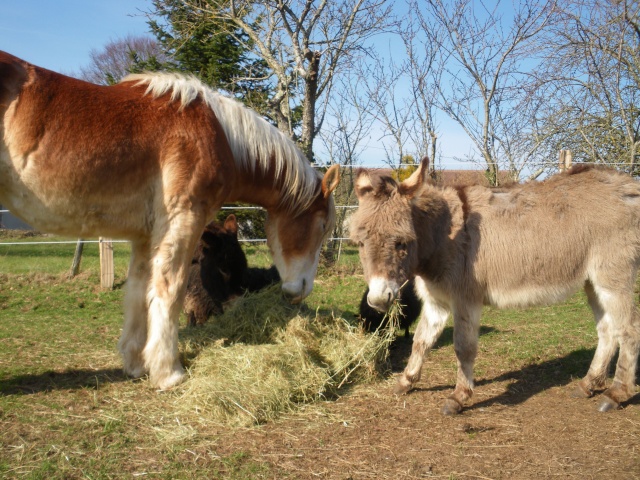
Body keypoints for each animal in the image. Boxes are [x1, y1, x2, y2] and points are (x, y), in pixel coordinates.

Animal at [1, 51, 340, 390]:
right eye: (323, 227)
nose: (301, 291)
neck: (219, 135)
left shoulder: (144, 235)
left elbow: (139, 291)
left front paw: (136, 364)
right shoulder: (183, 220)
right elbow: (170, 290)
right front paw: (168, 371)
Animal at [352, 158, 640, 412]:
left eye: (401, 242)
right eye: (361, 243)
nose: (377, 300)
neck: (444, 233)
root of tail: (629, 185)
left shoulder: (465, 299)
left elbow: (463, 348)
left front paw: (459, 397)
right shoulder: (437, 300)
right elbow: (421, 341)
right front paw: (406, 381)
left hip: (614, 277)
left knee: (629, 330)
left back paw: (616, 394)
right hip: (592, 282)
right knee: (607, 330)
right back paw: (588, 384)